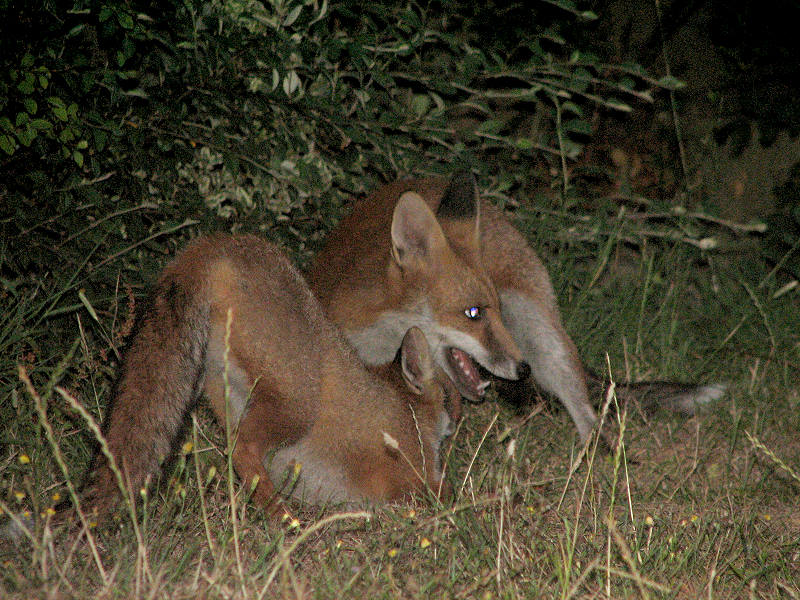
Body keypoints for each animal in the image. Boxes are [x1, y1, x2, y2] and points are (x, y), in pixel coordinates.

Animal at [68, 234, 461, 524]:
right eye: (449, 395)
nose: (462, 414)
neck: (406, 413)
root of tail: (212, 244)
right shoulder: (413, 477)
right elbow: (445, 493)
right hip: (296, 405)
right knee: (242, 449)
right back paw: (283, 519)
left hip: (231, 397)